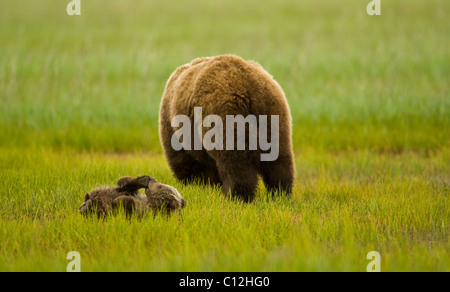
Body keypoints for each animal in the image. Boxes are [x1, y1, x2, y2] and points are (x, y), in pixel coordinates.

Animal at [159, 54, 296, 201]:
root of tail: (249, 89)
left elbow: (184, 161)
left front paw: (193, 185)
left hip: (225, 115)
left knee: (236, 162)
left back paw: (237, 196)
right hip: (274, 116)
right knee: (279, 161)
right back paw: (280, 193)